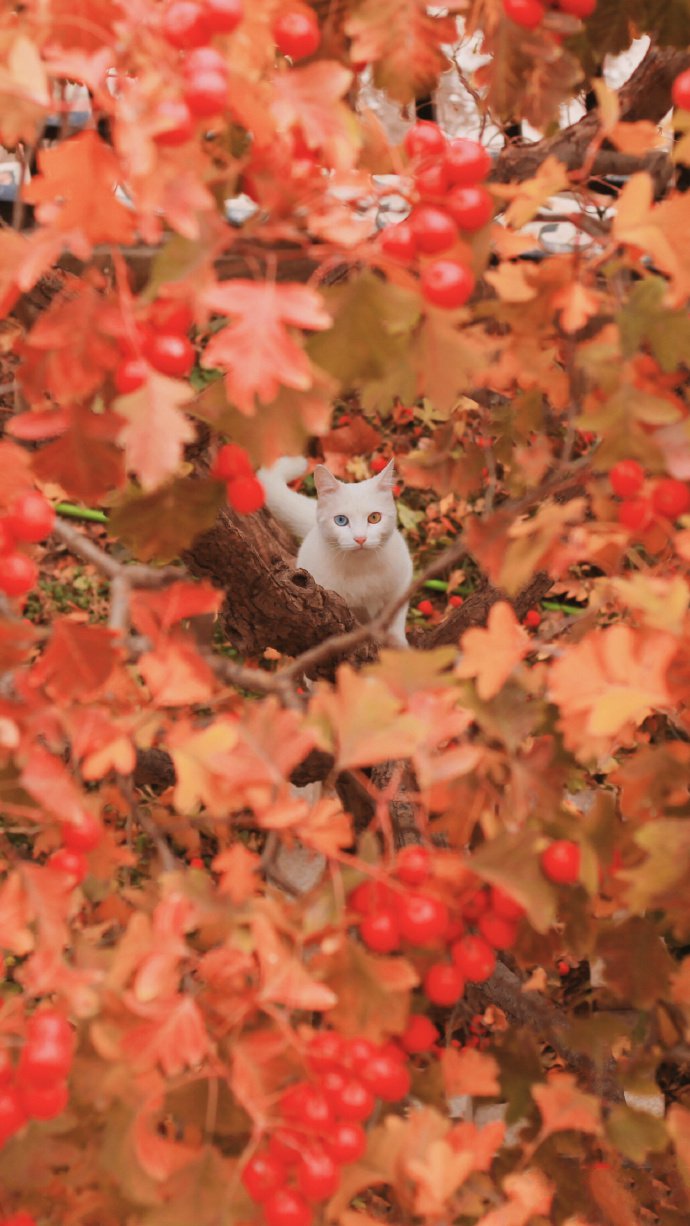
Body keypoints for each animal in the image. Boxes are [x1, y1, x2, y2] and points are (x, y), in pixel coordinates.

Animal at [257, 458, 409, 652]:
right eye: (341, 520)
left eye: (374, 517)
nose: (360, 538)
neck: (361, 568)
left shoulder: (403, 582)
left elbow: (396, 615)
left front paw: (398, 643)